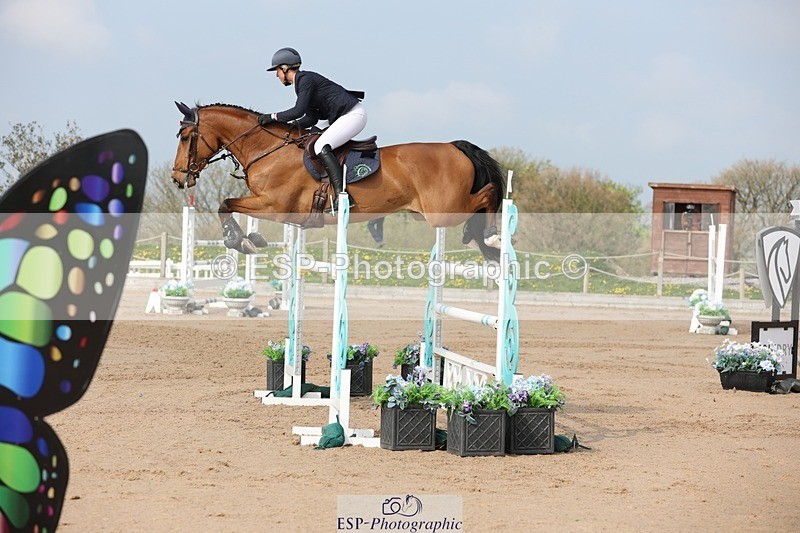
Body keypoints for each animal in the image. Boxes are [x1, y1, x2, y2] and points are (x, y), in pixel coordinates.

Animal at [170, 102, 505, 260]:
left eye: (185, 137)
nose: (177, 178)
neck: (268, 149)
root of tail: (454, 146)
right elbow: (228, 206)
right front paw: (250, 239)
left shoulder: (274, 205)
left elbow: (226, 204)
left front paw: (239, 241)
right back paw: (479, 236)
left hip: (442, 211)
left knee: (489, 193)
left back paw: (490, 235)